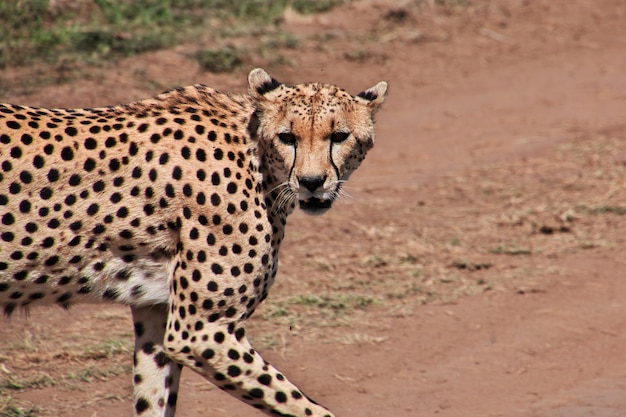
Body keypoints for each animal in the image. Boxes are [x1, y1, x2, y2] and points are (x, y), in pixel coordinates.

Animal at [0, 69, 386, 416]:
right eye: (287, 137)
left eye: (339, 136)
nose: (311, 182)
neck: (255, 157)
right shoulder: (200, 330)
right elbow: (302, 406)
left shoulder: (156, 313)